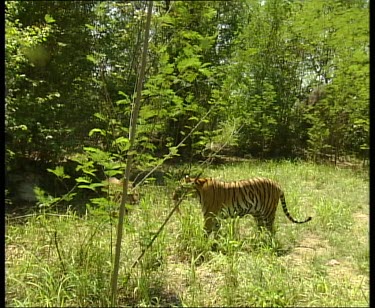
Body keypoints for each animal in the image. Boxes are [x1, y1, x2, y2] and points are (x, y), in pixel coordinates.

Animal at [173, 176, 312, 236]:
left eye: (180, 186)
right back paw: (257, 241)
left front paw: (203, 243)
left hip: (268, 212)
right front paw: (215, 245)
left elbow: (206, 232)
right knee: (261, 228)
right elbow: (217, 232)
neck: (198, 190)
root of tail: (278, 184)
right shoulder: (216, 217)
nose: (173, 195)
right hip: (258, 213)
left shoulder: (209, 216)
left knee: (271, 229)